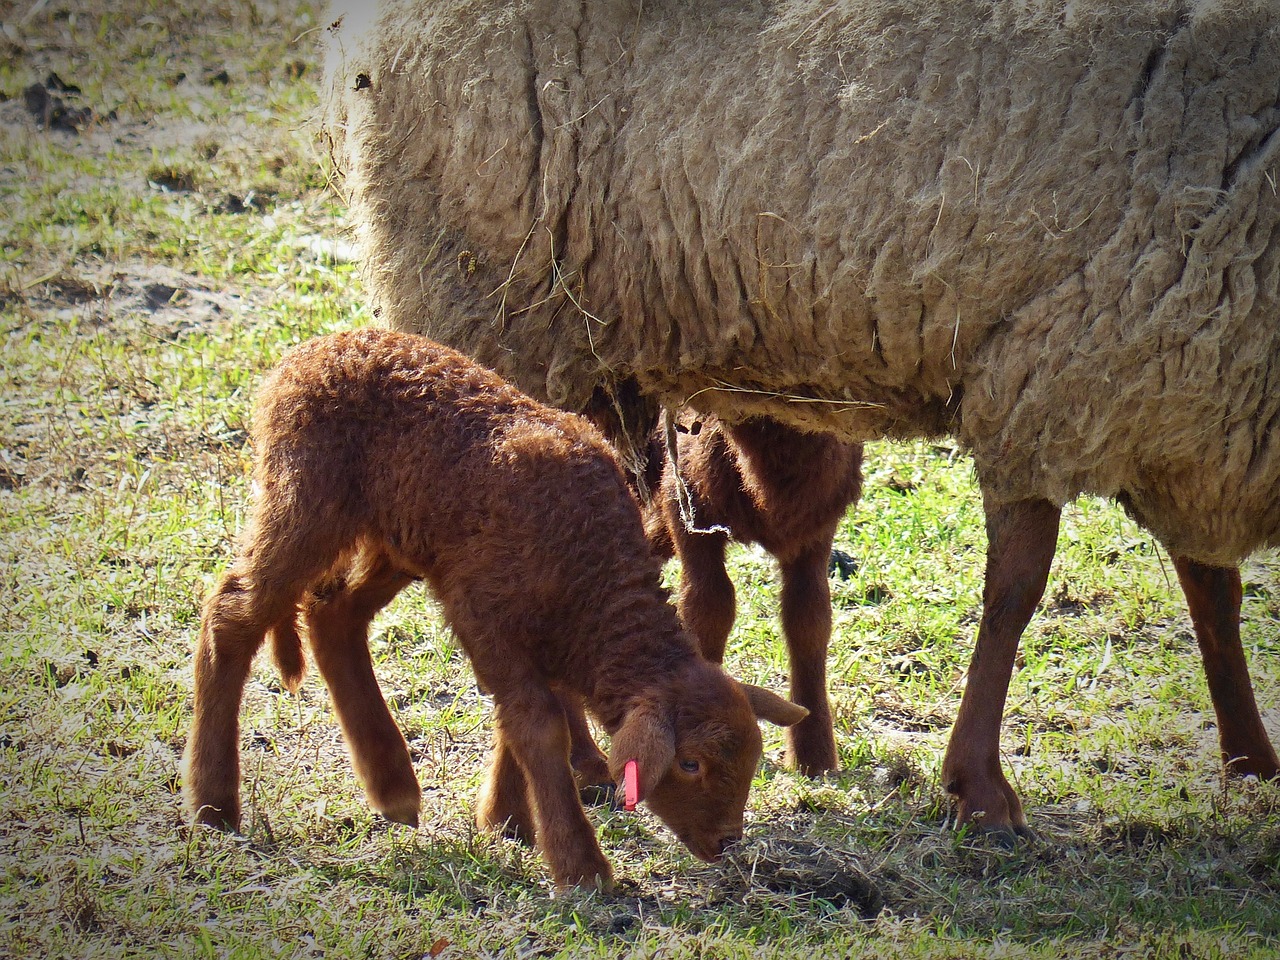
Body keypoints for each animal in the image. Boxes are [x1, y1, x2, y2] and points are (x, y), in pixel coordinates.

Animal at [183, 330, 798, 896]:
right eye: (690, 764)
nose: (726, 842)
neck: (589, 569)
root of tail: (313, 349)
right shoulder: (485, 612)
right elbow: (538, 723)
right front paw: (580, 865)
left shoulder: (540, 631)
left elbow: (523, 716)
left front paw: (507, 821)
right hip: (307, 500)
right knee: (232, 613)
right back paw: (213, 803)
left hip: (400, 540)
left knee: (333, 616)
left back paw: (392, 787)